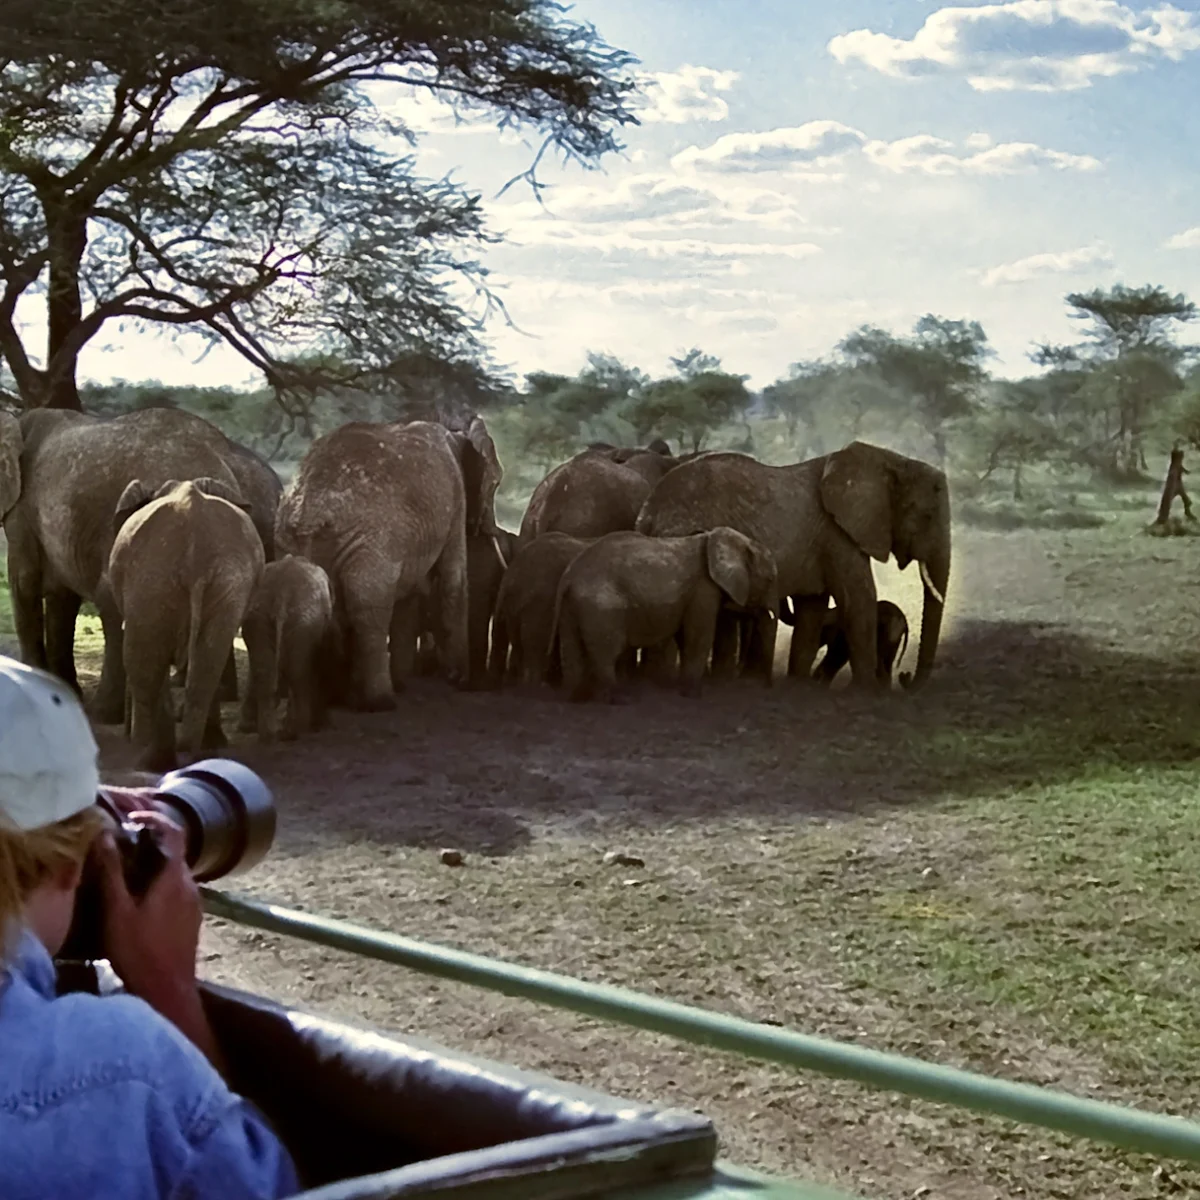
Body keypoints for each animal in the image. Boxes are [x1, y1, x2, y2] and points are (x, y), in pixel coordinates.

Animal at [109, 477, 265, 771]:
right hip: (226, 580)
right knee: (207, 663)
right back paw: (195, 756)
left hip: (151, 577)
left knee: (141, 663)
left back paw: (152, 761)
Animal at [237, 554, 337, 742]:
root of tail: (282, 594)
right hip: (304, 619)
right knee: (298, 673)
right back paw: (297, 731)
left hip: (258, 616)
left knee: (266, 672)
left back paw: (269, 736)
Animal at [274, 416, 503, 711]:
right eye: (496, 483)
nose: (490, 528)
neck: (457, 434)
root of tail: (308, 512)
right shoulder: (456, 498)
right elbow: (454, 580)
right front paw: (459, 680)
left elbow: (410, 594)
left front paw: (406, 681)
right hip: (371, 542)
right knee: (369, 606)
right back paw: (381, 701)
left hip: (288, 541)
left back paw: (340, 699)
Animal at [550, 527, 778, 703]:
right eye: (770, 579)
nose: (767, 687)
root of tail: (568, 576)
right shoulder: (704, 588)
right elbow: (698, 636)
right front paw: (694, 695)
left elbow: (686, 637)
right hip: (602, 606)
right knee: (607, 652)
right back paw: (619, 698)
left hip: (573, 604)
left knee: (571, 648)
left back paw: (578, 697)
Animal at [635, 441, 950, 691]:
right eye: (927, 516)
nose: (906, 678)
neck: (890, 460)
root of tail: (647, 512)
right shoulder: (837, 533)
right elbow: (858, 599)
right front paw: (863, 691)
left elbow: (813, 605)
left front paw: (799, 685)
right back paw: (661, 683)